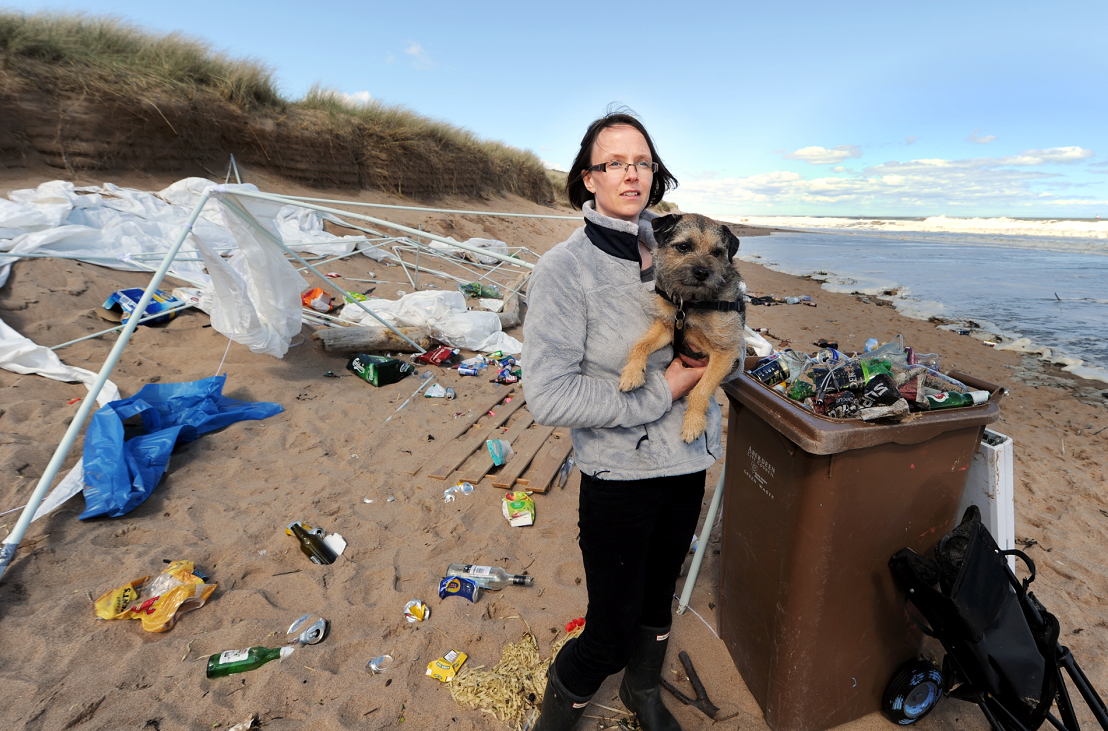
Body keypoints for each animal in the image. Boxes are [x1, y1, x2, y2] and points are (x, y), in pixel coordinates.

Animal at [616, 211, 744, 443]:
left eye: (717, 252)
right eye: (684, 246)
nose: (702, 272)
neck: (690, 303)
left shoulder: (726, 352)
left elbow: (701, 390)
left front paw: (693, 423)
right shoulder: (667, 327)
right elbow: (640, 345)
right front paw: (632, 373)